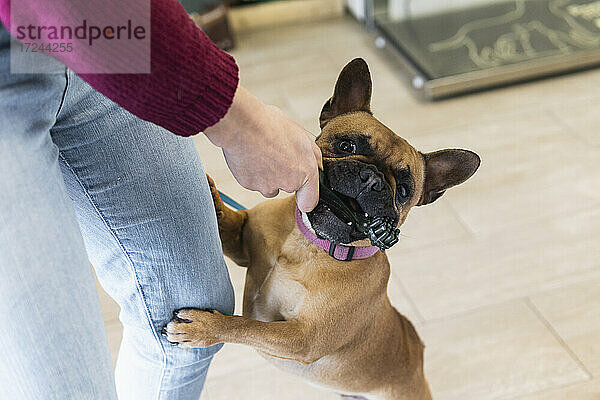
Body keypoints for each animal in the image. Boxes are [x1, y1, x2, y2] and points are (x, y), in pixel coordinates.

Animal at [163, 57, 478, 400]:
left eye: (405, 190)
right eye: (346, 144)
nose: (372, 178)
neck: (308, 243)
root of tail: (417, 357)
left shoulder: (302, 338)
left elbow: (248, 327)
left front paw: (204, 328)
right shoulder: (242, 247)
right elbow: (229, 223)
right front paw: (212, 195)